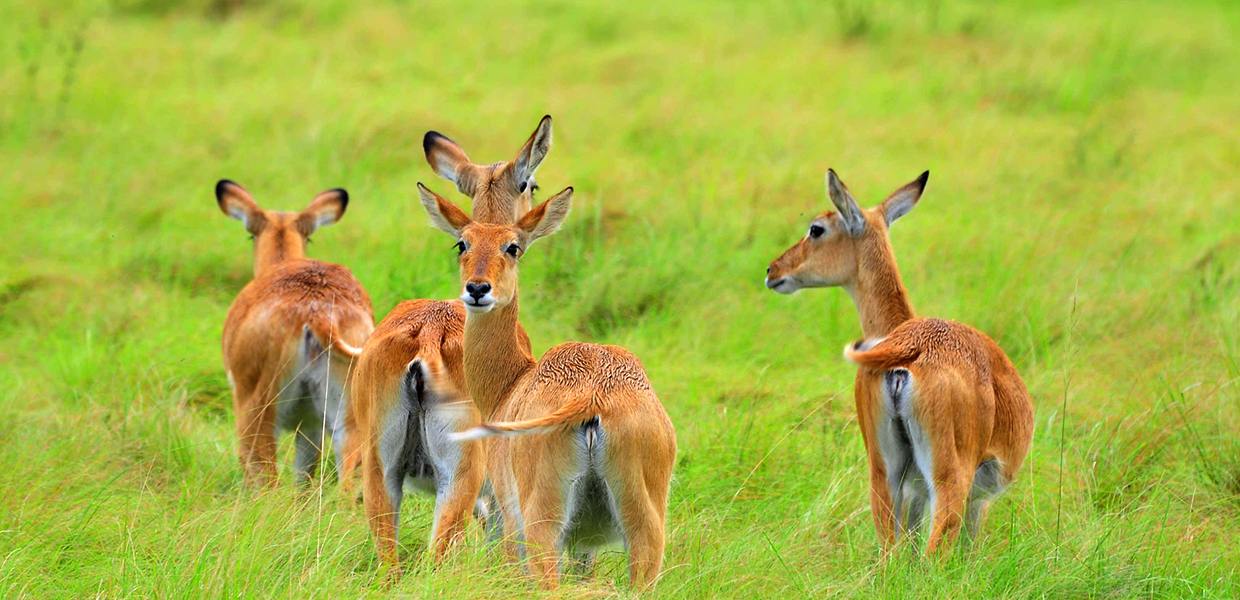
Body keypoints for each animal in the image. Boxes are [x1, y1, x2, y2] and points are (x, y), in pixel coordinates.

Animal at [217, 180, 372, 485]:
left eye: (251, 235)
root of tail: (318, 314)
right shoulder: (309, 424)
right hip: (345, 421)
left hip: (257, 413)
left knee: (265, 479)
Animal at [421, 183, 679, 590]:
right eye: (463, 243)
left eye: (512, 246)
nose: (477, 289)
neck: (511, 384)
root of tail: (594, 397)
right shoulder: (584, 547)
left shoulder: (507, 516)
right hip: (645, 528)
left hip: (541, 521)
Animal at [763, 168, 1036, 552]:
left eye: (816, 228)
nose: (773, 270)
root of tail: (911, 347)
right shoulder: (975, 502)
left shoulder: (914, 491)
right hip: (948, 480)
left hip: (884, 473)